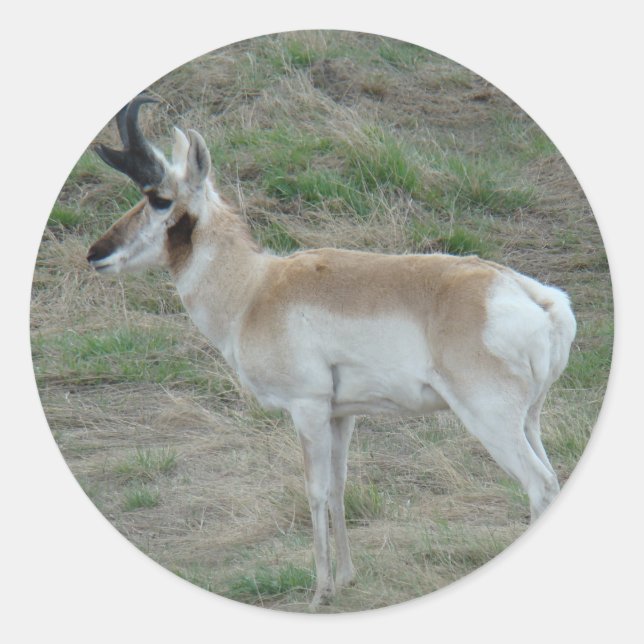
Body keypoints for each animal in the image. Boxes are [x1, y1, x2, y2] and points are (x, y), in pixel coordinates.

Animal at [87, 96, 576, 608]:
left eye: (159, 198)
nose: (96, 253)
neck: (255, 290)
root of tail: (528, 294)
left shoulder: (308, 408)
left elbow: (316, 491)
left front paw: (319, 592)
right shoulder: (344, 415)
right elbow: (341, 487)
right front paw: (345, 578)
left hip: (491, 421)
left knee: (539, 485)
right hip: (528, 420)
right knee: (552, 479)